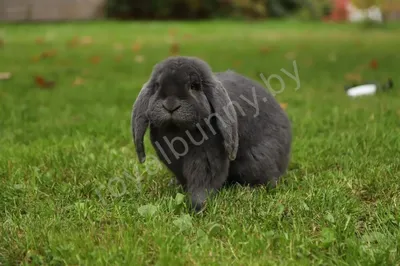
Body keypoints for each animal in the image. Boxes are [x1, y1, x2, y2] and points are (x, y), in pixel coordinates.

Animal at [131, 56, 290, 212]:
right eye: (157, 85)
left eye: (194, 86)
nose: (170, 105)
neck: (178, 131)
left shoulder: (207, 157)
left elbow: (204, 181)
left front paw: (198, 206)